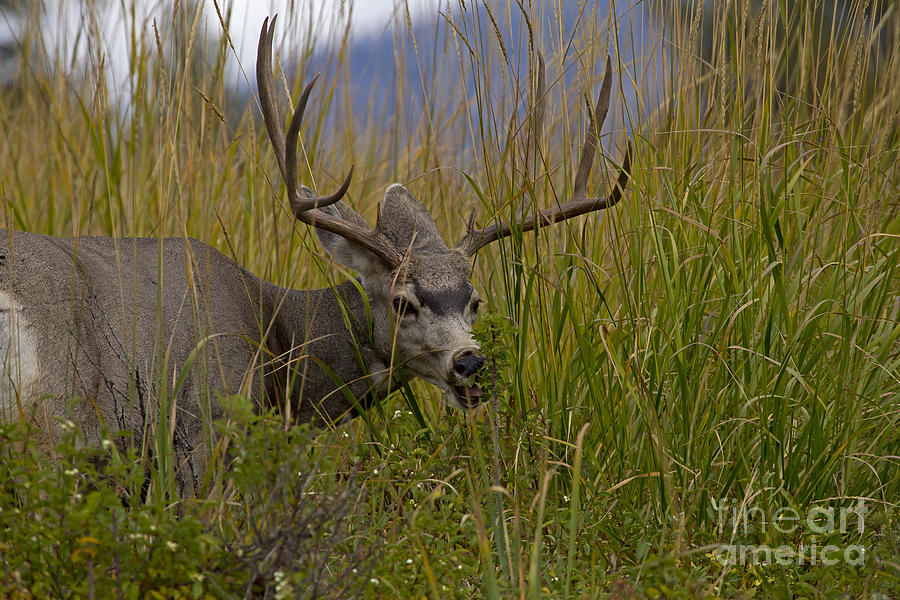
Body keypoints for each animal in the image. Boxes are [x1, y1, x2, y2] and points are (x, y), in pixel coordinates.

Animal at [0, 17, 630, 496]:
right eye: (403, 302)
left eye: (474, 301)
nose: (471, 363)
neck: (280, 347)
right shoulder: (204, 431)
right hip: (62, 422)